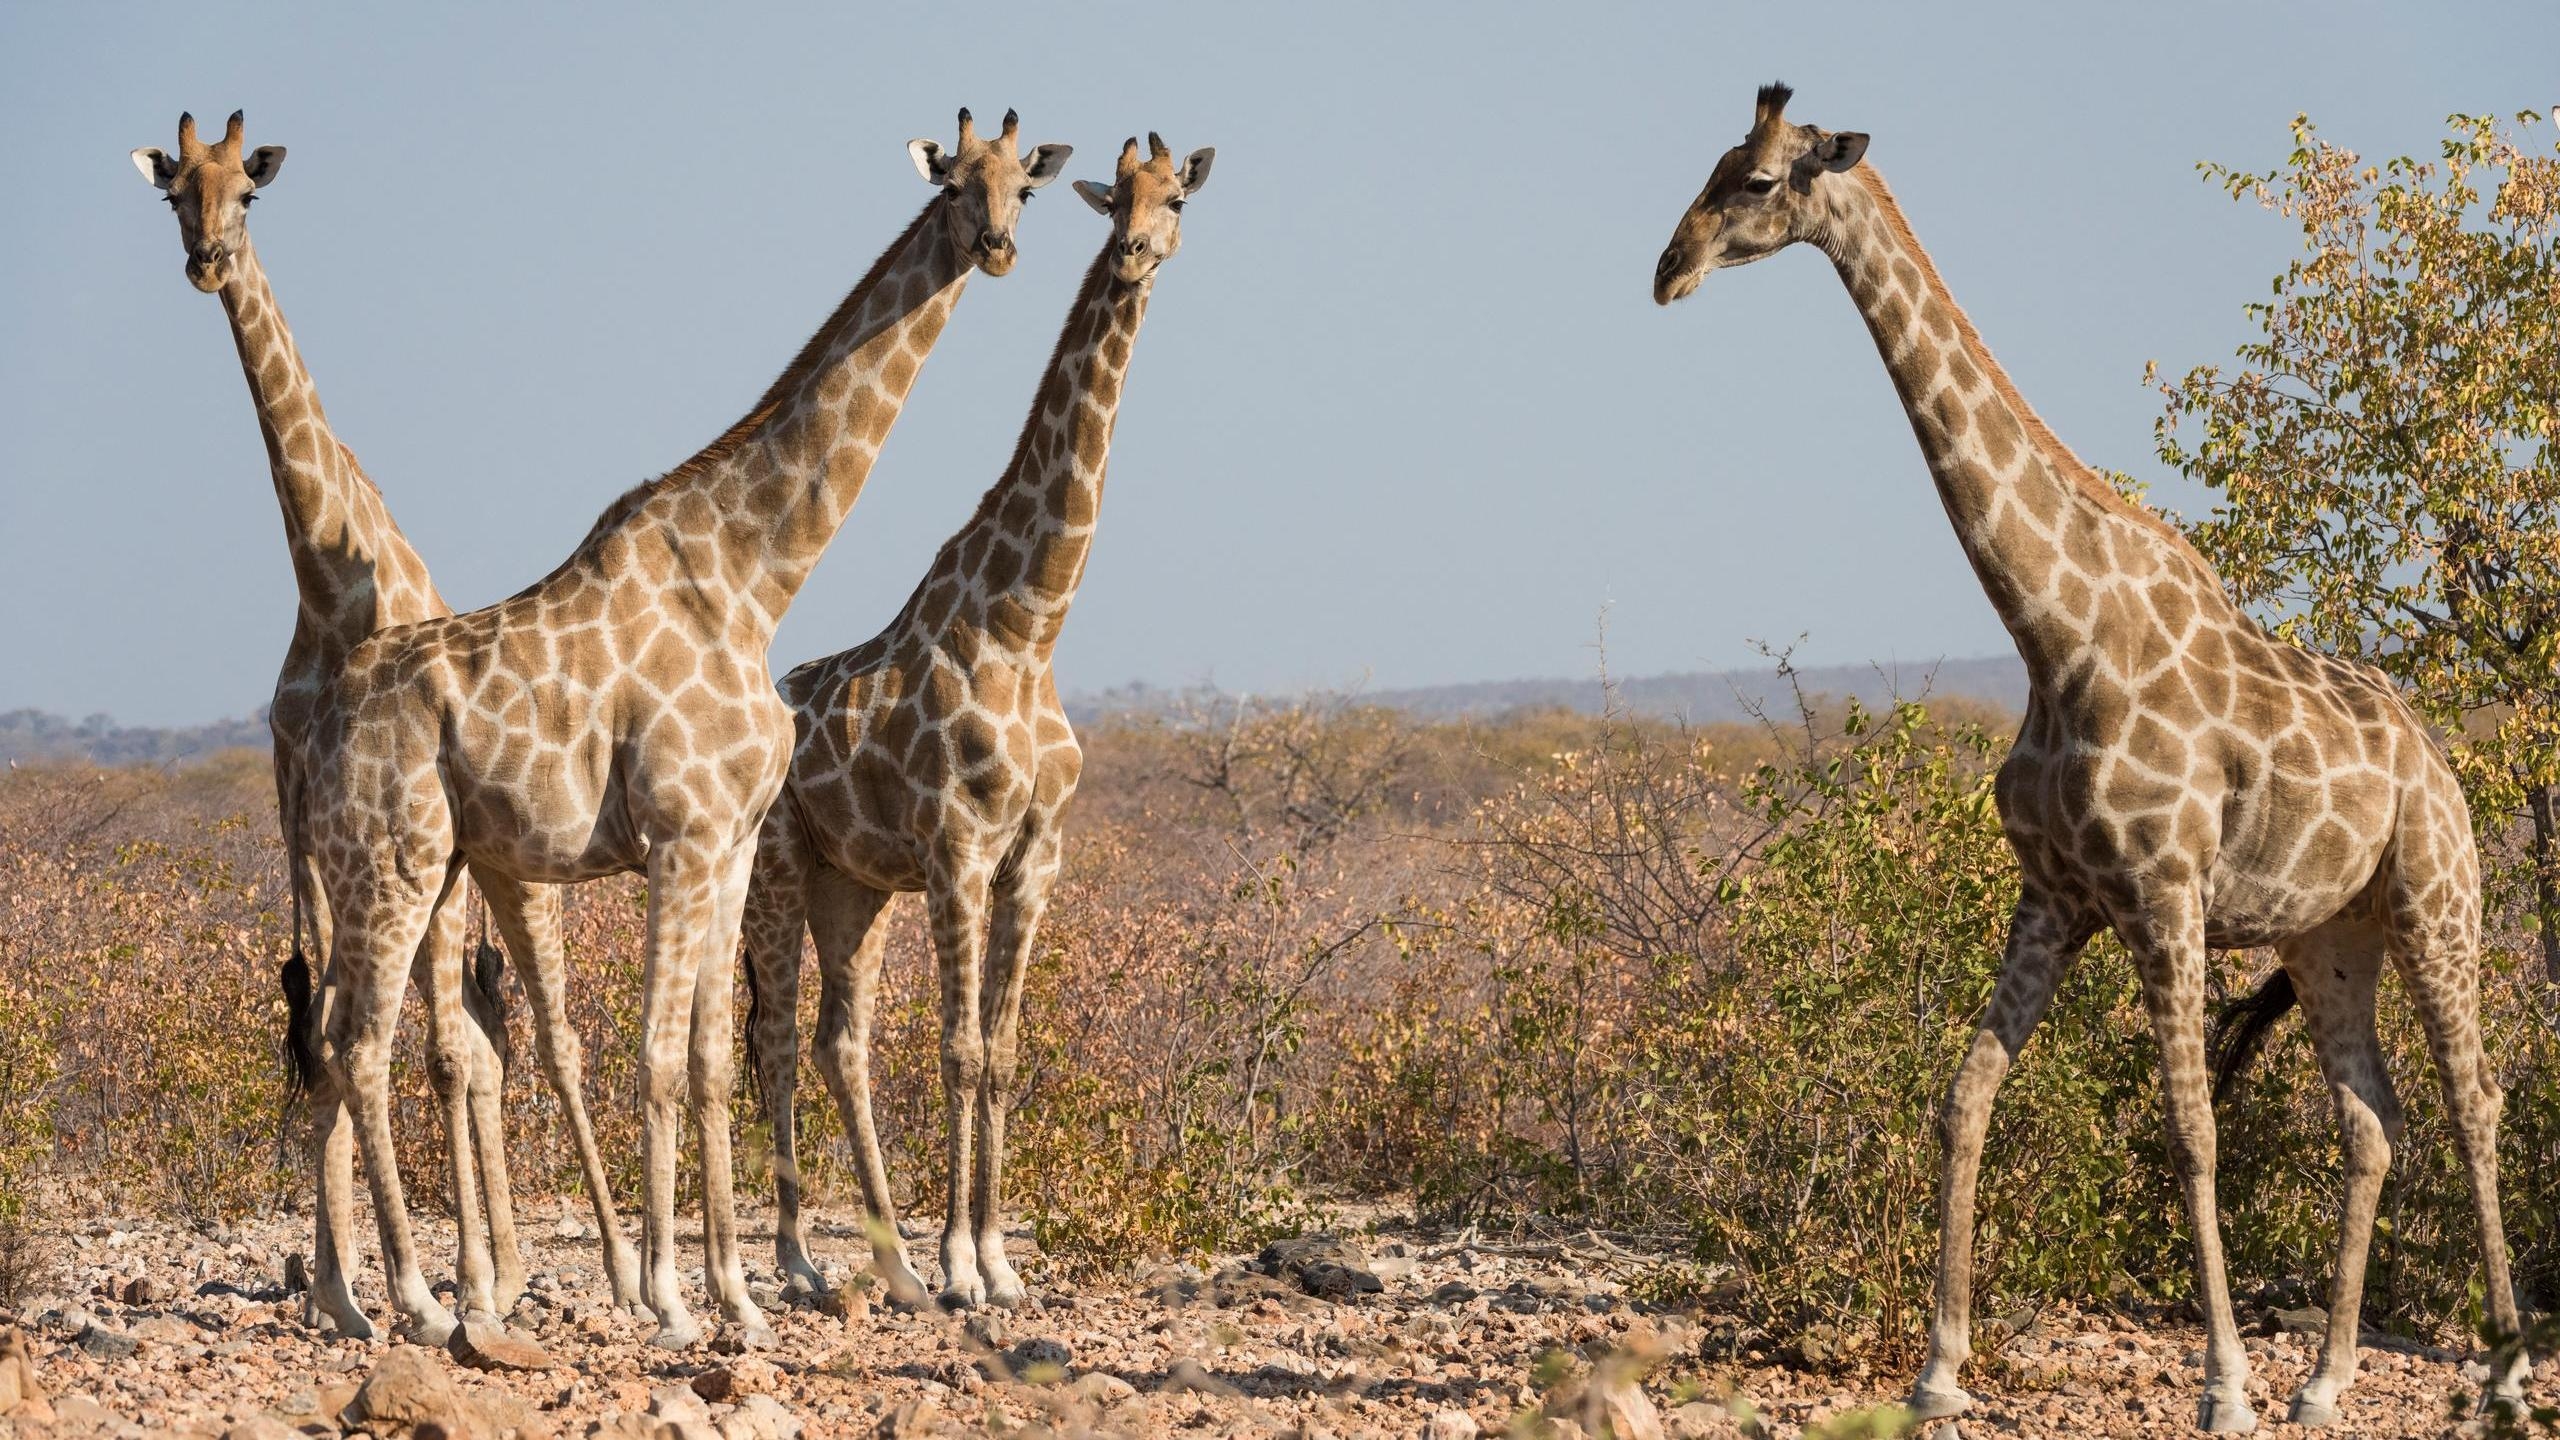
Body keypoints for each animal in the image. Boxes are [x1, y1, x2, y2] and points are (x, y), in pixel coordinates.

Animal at [129, 110, 645, 1338]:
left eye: (247, 194)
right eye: (175, 193)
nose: (206, 261)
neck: (328, 589)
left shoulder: (422, 857)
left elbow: (442, 1055)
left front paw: (447, 1281)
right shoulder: (305, 829)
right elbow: (324, 1036)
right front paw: (339, 1290)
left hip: (510, 887)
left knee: (529, 1042)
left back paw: (567, 1270)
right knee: (458, 1039)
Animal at [299, 108, 1069, 1349]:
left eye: (1023, 188)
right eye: (952, 183)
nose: (996, 246)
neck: (750, 579)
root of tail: (316, 729)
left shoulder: (739, 840)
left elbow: (711, 1059)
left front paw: (738, 1295)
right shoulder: (679, 833)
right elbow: (658, 1060)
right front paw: (666, 1300)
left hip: (400, 865)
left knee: (329, 1040)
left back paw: (339, 1297)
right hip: (396, 858)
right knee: (364, 1047)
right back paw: (415, 1301)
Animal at [740, 132, 1213, 1311]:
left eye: (1175, 199)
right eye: (1112, 199)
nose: (1134, 254)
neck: (1027, 624)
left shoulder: (1035, 855)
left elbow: (1000, 1052)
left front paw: (994, 1263)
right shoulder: (958, 847)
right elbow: (955, 1049)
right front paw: (964, 1266)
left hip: (853, 885)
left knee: (840, 1039)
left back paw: (891, 1264)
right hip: (775, 865)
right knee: (775, 1035)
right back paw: (802, 1262)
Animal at [1654, 85, 2525, 1433]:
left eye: (1750, 181)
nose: (1667, 270)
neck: (2055, 633)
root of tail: (2437, 762)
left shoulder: (2161, 894)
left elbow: (2189, 1131)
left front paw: (2222, 1387)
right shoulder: (2054, 896)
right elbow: (1964, 1095)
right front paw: (1938, 1371)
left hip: (2438, 897)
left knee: (2474, 1103)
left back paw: (2500, 1369)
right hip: (2327, 934)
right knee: (2372, 1119)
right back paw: (2325, 1380)